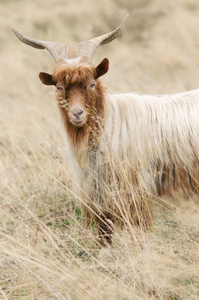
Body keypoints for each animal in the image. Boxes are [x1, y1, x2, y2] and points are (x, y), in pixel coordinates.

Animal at [12, 14, 199, 244]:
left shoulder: (134, 196)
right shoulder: (99, 200)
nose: (77, 114)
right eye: (59, 87)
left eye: (92, 83)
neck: (109, 124)